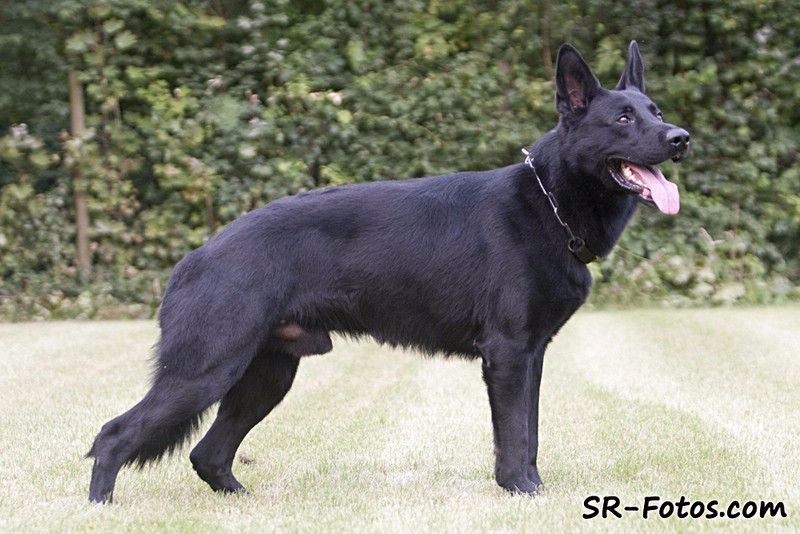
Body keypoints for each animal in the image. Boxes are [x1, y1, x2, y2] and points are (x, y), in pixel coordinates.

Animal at [88, 41, 690, 503]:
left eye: (657, 112)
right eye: (623, 118)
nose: (681, 138)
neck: (550, 204)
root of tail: (193, 259)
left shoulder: (532, 357)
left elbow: (532, 433)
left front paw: (534, 489)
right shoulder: (508, 356)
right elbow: (515, 436)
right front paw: (520, 491)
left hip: (266, 377)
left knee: (207, 454)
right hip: (205, 372)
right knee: (114, 436)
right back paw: (101, 507)